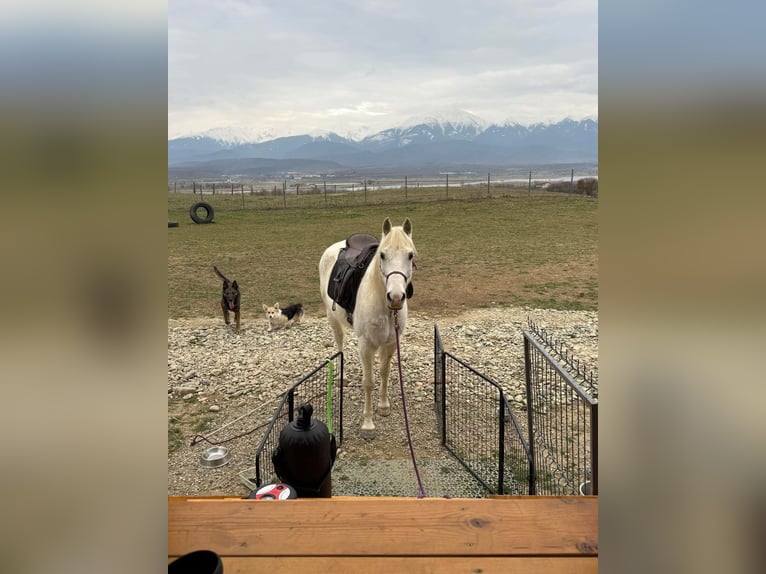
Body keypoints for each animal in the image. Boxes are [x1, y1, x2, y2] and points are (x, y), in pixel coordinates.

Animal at [319, 217, 417, 438]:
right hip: (332, 319)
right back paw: (343, 377)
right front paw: (368, 424)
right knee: (339, 343)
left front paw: (383, 406)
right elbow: (368, 382)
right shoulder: (366, 344)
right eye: (382, 255)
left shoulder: (390, 343)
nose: (395, 297)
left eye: (410, 255)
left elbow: (384, 373)